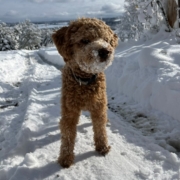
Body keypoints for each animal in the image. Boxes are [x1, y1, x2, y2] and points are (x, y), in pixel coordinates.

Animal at [52, 17, 118, 168]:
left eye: (106, 39)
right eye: (85, 40)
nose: (105, 51)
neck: (85, 81)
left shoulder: (99, 107)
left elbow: (100, 128)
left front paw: (103, 147)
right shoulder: (69, 111)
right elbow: (68, 134)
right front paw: (66, 157)